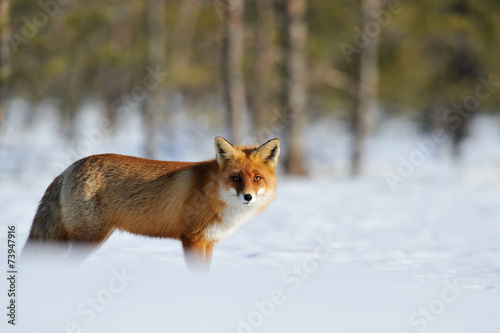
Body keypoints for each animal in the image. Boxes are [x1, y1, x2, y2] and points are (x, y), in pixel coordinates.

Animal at [22, 136, 278, 268]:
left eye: (257, 179)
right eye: (236, 178)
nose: (247, 197)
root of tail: (68, 167)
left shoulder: (208, 242)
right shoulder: (192, 239)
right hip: (90, 238)